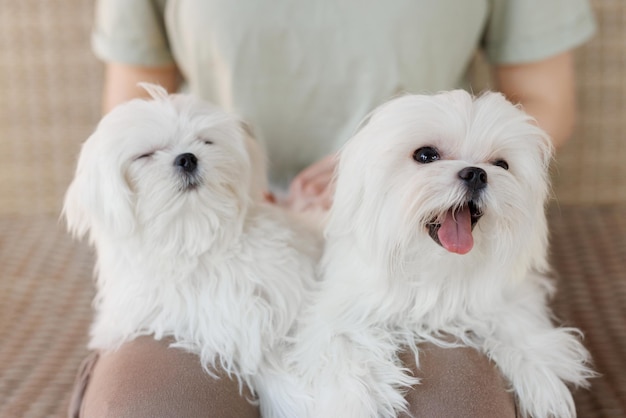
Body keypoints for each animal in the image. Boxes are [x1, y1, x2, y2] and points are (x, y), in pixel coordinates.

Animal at [63, 82, 320, 412]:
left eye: (205, 141)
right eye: (144, 155)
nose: (187, 158)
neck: (192, 239)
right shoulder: (215, 328)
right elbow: (266, 366)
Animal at [286, 90, 592, 418]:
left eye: (501, 164)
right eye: (425, 155)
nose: (477, 173)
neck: (437, 270)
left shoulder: (505, 296)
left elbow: (518, 322)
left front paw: (540, 378)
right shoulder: (342, 308)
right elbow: (344, 343)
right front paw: (359, 398)